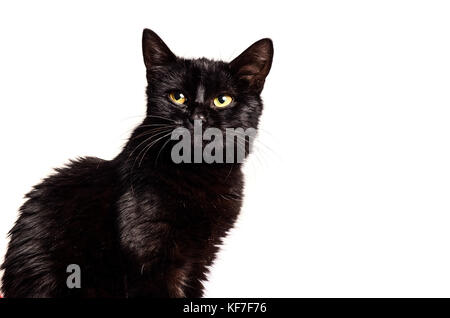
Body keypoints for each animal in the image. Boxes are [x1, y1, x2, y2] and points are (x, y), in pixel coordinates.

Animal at [0, 28, 270, 296]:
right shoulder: (150, 256)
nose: (197, 117)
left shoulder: (199, 260)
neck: (197, 172)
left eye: (222, 100)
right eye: (177, 97)